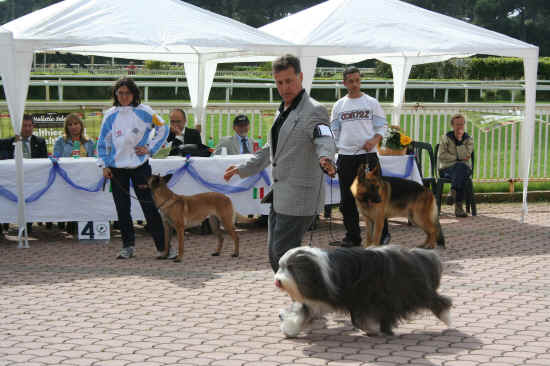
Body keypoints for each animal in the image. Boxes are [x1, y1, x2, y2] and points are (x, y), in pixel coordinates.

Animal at [276, 244, 452, 338]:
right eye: (280, 266)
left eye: (290, 268)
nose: (278, 281)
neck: (320, 272)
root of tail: (413, 254)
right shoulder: (314, 299)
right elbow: (301, 313)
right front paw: (290, 328)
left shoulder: (359, 296)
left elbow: (360, 317)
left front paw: (370, 328)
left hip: (404, 291)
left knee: (434, 300)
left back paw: (446, 317)